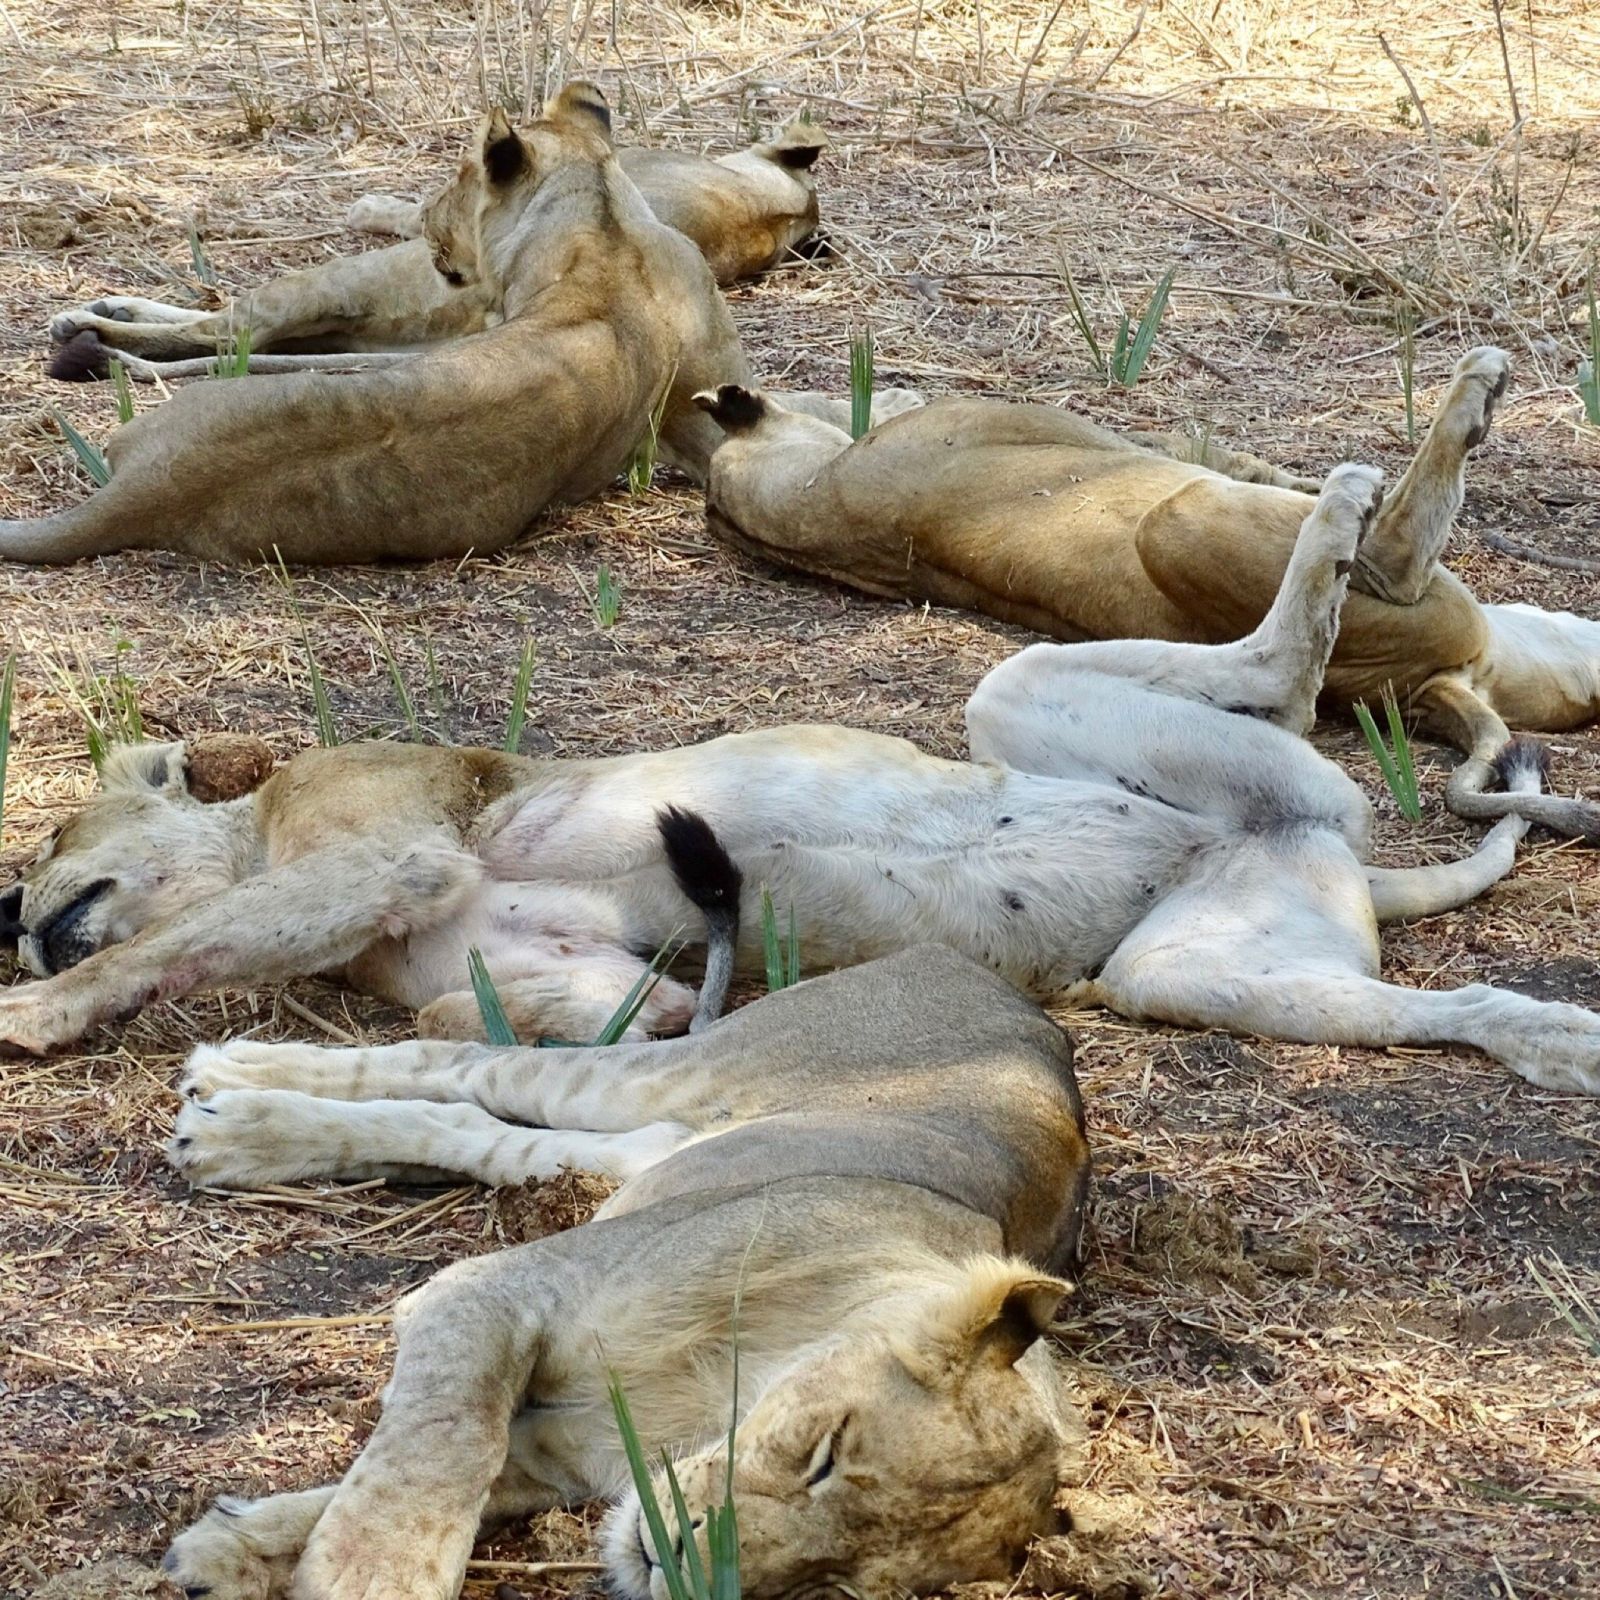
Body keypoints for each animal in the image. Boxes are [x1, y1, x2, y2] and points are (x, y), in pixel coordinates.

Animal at [6, 466, 1599, 1094]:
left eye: (50, 831)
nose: (13, 913)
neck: (251, 828)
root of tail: (1335, 851)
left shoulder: (377, 839)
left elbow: (160, 941)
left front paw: (37, 1010)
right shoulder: (575, 981)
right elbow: (596, 1016)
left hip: (1032, 700)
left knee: (1276, 666)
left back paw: (1344, 511)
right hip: (1193, 967)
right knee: (1440, 995)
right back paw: (1555, 1043)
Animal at [44, 116, 834, 378]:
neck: (754, 206)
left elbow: (413, 211)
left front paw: (373, 203)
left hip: (321, 285)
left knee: (221, 328)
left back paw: (84, 324)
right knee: (221, 328)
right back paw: (103, 311)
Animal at [156, 946, 1091, 1600]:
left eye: (834, 1586)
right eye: (827, 1453)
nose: (674, 1562)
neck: (729, 1398)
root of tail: (1032, 1011)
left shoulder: (559, 1456)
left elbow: (436, 1473)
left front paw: (231, 1544)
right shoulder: (485, 1292)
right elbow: (439, 1452)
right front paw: (368, 1574)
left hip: (636, 1151)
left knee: (476, 1128)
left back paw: (240, 1126)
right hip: (670, 1071)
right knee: (464, 1066)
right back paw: (233, 1084)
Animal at [694, 350, 1600, 843]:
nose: (899, 390)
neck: (812, 502)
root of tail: (1417, 689)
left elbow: (1252, 461)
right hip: (1188, 519)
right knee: (1390, 553)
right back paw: (1471, 394)